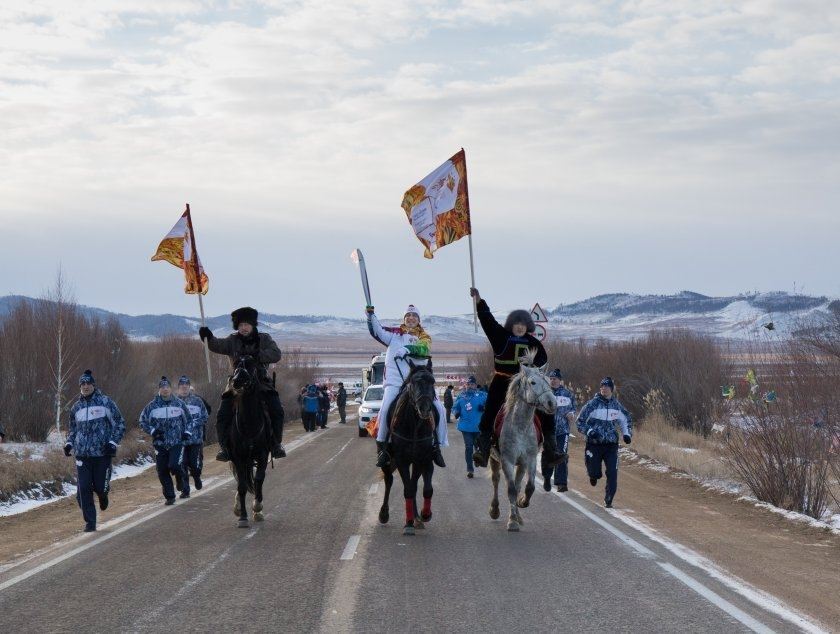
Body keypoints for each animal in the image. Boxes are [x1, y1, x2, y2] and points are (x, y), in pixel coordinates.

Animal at [226, 354, 270, 524]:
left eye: (251, 366)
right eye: (236, 365)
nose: (236, 381)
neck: (249, 424)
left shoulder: (263, 455)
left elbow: (259, 479)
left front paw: (257, 508)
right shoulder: (238, 457)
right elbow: (242, 485)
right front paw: (243, 516)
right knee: (241, 479)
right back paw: (238, 506)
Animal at [378, 360, 436, 532]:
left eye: (432, 382)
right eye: (414, 382)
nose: (424, 408)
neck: (414, 425)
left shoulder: (421, 459)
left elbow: (423, 488)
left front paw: (424, 514)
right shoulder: (402, 459)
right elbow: (408, 489)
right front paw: (408, 524)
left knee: (413, 483)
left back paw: (416, 518)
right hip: (388, 459)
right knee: (389, 480)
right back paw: (384, 514)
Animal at [488, 350, 556, 528]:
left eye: (548, 381)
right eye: (533, 382)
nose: (552, 403)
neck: (520, 427)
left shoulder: (529, 460)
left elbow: (529, 487)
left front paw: (521, 504)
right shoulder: (507, 460)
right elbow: (510, 489)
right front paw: (512, 522)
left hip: (521, 465)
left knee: (519, 485)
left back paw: (518, 515)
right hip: (494, 459)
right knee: (496, 480)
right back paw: (495, 510)